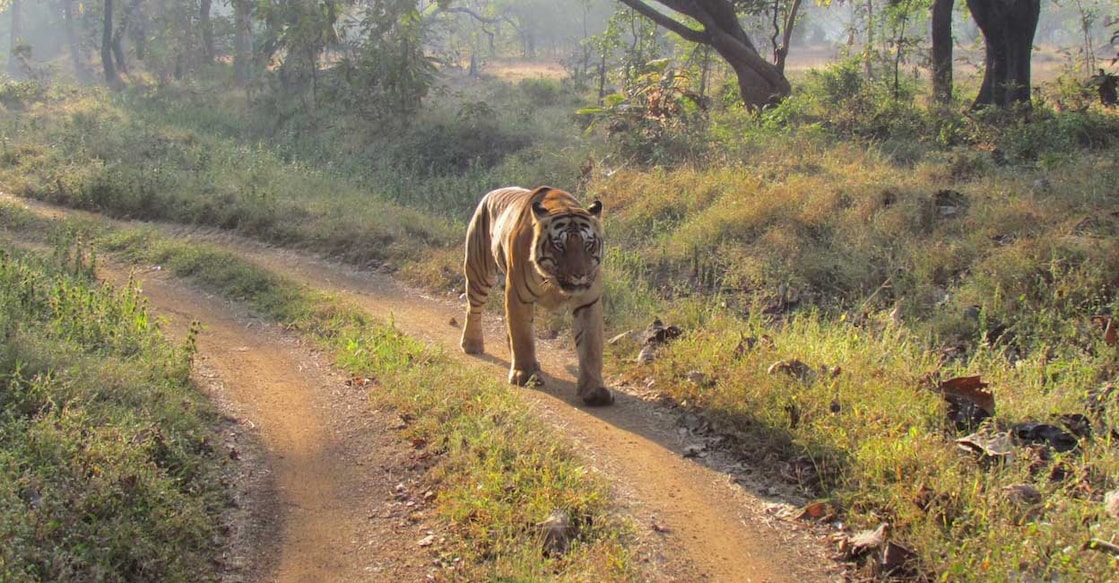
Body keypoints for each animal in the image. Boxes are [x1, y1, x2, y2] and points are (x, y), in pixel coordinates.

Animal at [458, 185, 613, 405]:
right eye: (559, 245)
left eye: (588, 244)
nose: (580, 274)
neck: (553, 283)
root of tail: (491, 193)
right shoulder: (518, 295)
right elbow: (522, 336)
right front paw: (525, 375)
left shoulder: (588, 301)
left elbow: (591, 347)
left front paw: (594, 390)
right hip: (479, 270)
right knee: (473, 308)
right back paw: (472, 343)